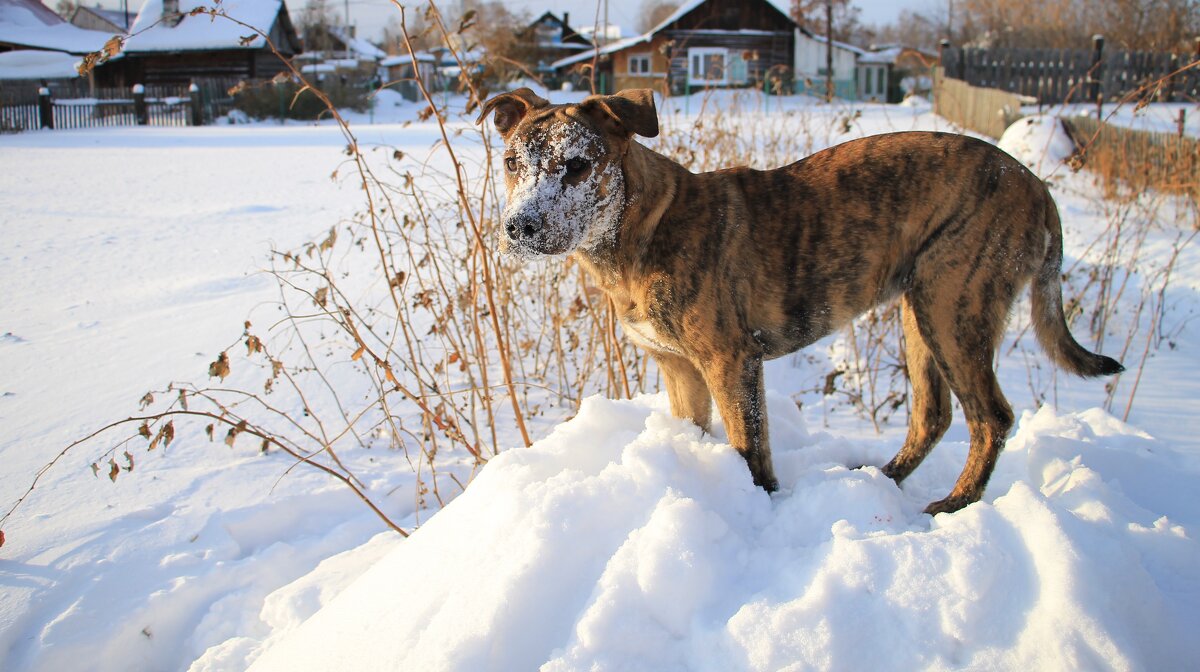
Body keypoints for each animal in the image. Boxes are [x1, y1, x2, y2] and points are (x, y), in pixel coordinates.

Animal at [477, 88, 1123, 513]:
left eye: (577, 165)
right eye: (510, 163)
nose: (520, 228)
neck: (638, 232)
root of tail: (1037, 186)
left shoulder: (730, 361)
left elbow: (750, 448)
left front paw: (761, 507)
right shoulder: (679, 369)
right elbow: (701, 431)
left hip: (953, 304)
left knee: (991, 417)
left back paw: (951, 506)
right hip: (922, 308)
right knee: (932, 415)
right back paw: (885, 480)